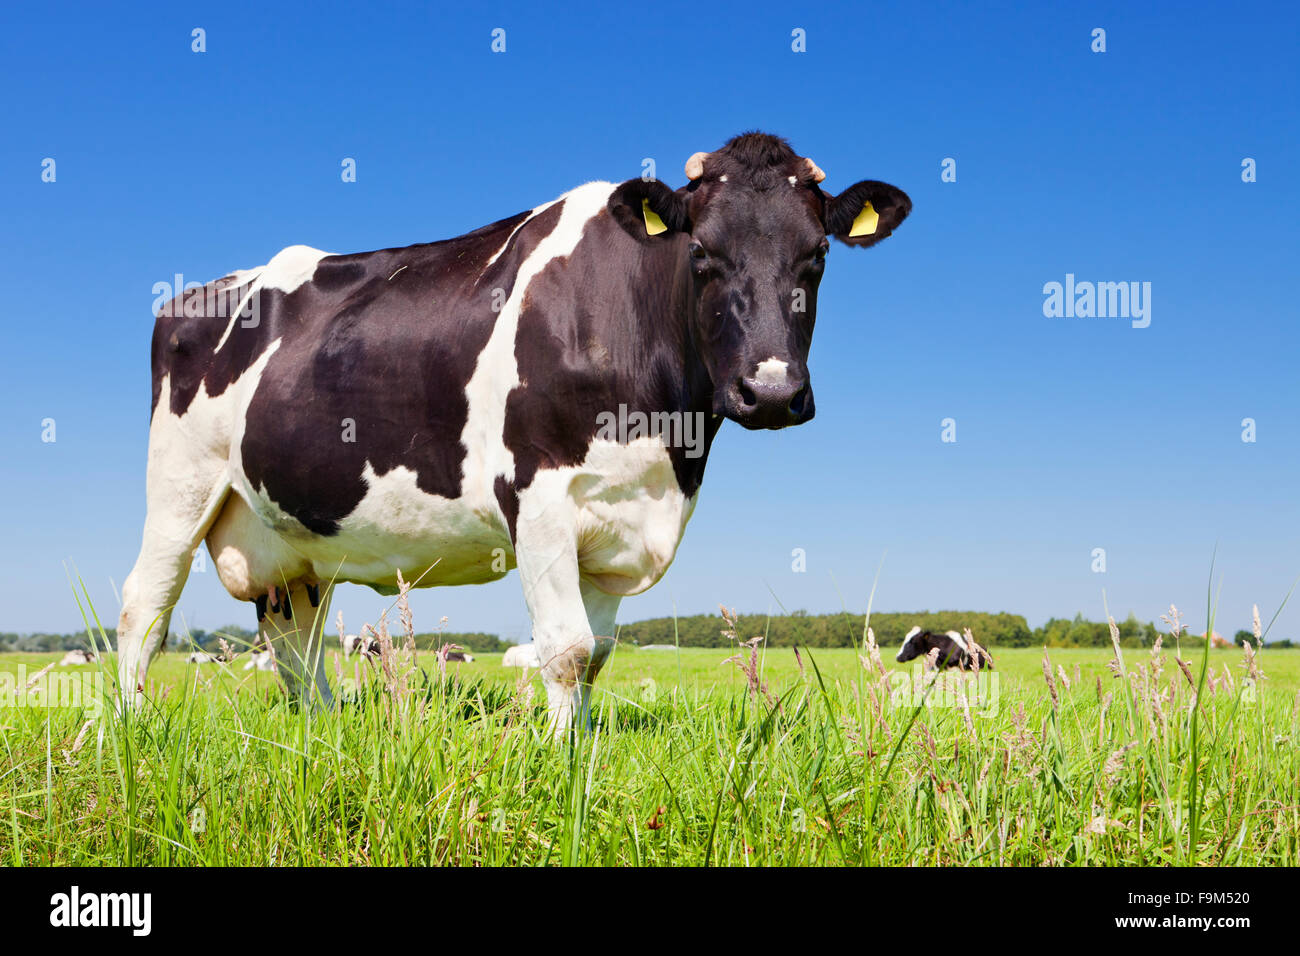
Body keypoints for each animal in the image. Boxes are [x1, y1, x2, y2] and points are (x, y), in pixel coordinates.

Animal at [115, 132, 911, 733]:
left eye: (818, 256)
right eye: (701, 255)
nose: (771, 391)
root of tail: (201, 291)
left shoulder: (619, 522)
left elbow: (597, 654)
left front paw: (583, 747)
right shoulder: (540, 495)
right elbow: (564, 648)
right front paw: (561, 764)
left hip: (292, 536)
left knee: (295, 640)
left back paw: (322, 729)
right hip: (179, 491)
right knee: (143, 607)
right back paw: (130, 727)